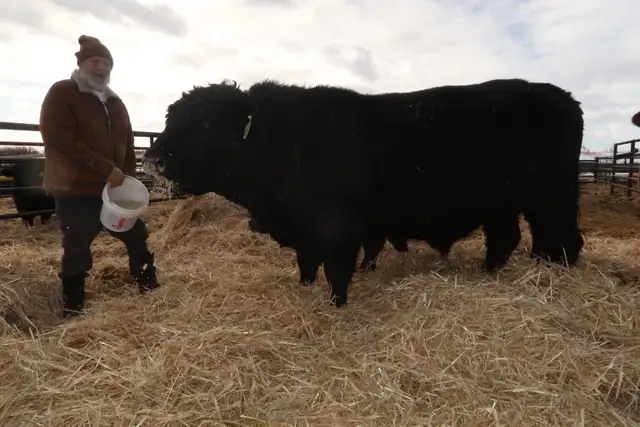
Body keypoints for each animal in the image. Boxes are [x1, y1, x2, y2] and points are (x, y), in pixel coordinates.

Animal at [142, 78, 585, 308]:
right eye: (171, 116)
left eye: (205, 123)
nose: (154, 158)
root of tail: (561, 96)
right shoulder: (306, 231)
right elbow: (307, 265)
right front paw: (304, 289)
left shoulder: (338, 228)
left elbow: (337, 270)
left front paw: (336, 305)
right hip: (502, 205)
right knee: (508, 239)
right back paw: (491, 272)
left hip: (551, 197)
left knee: (562, 240)